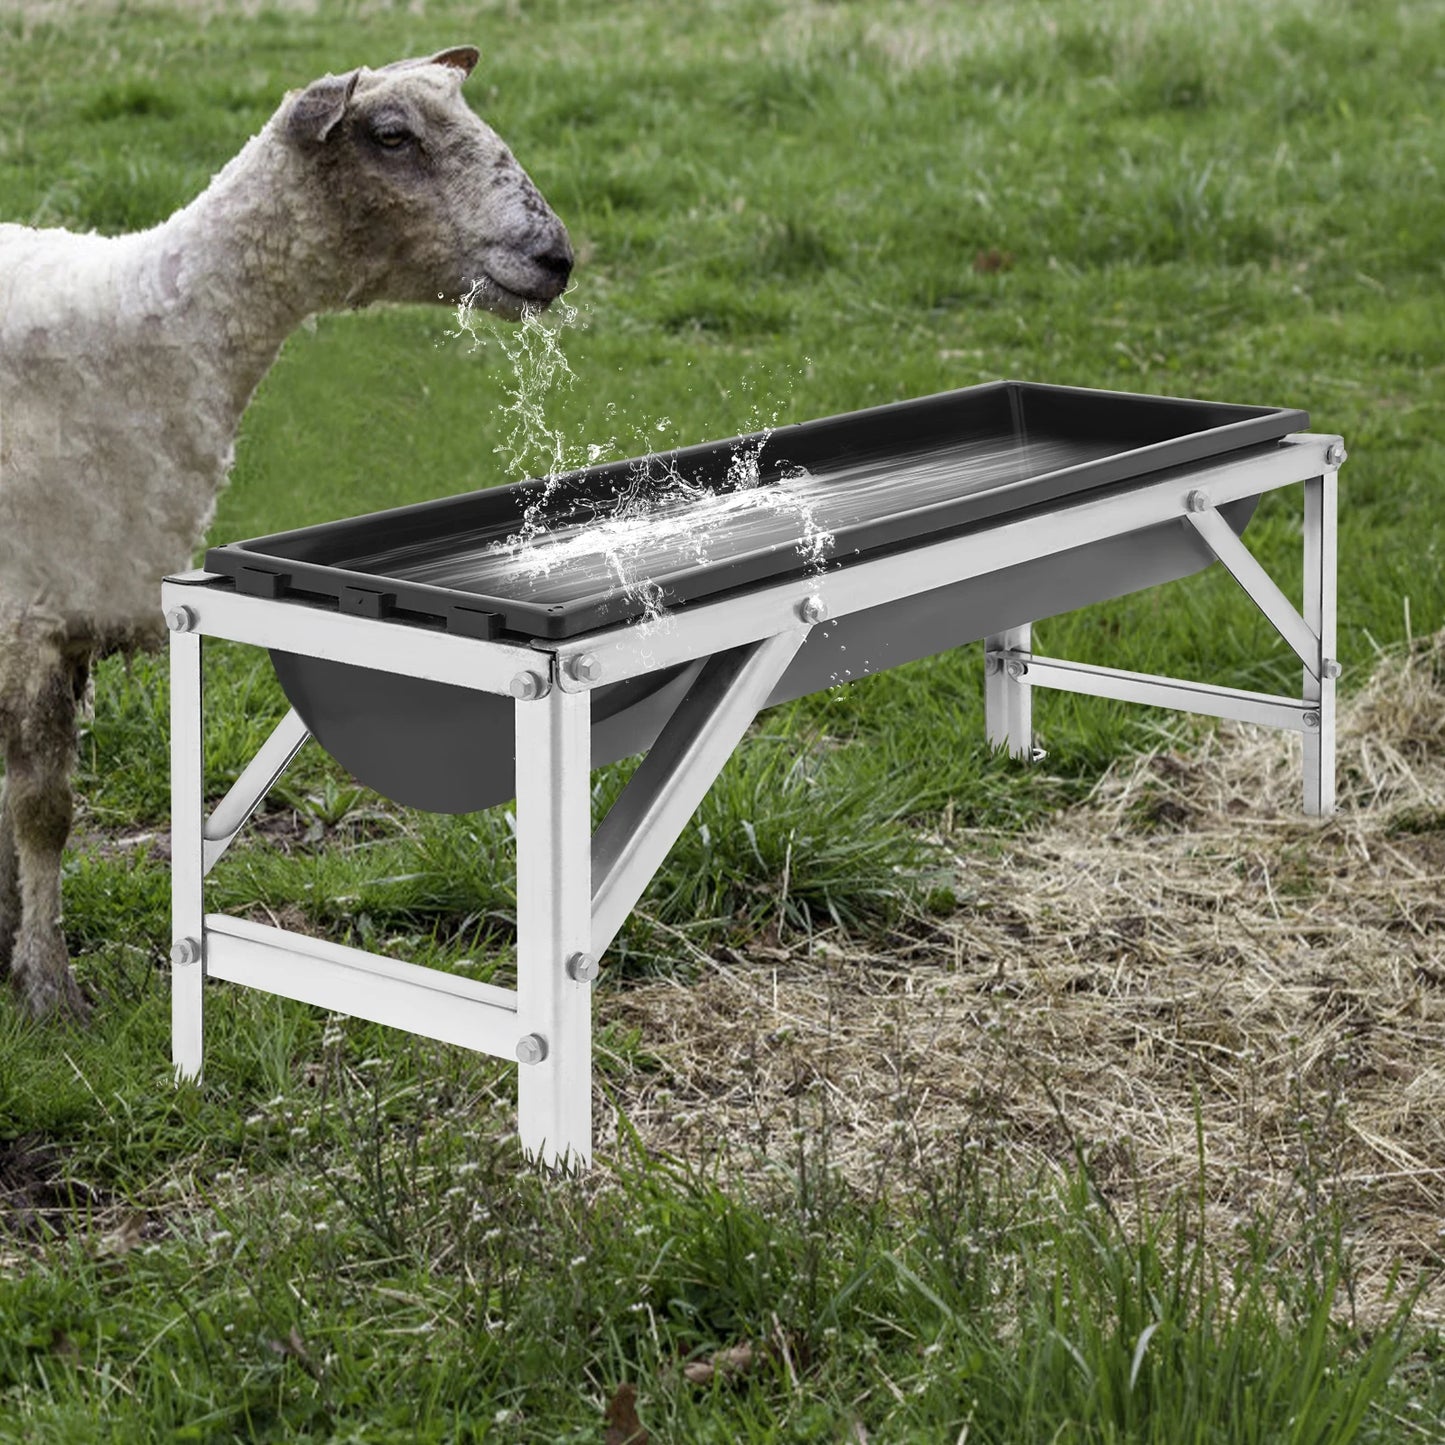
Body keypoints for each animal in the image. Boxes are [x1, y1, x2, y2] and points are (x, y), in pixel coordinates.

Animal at [0, 46, 573, 1021]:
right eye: (392, 135)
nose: (557, 258)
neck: (147, 329)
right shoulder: (30, 606)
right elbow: (43, 807)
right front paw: (47, 984)